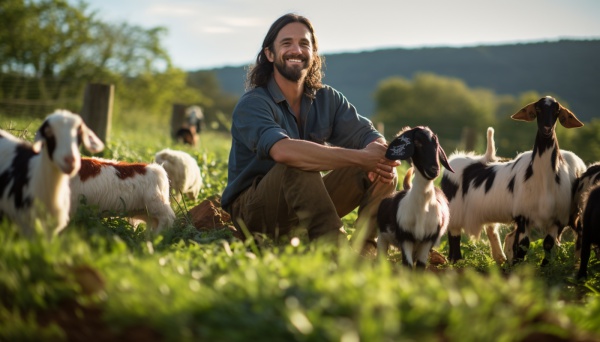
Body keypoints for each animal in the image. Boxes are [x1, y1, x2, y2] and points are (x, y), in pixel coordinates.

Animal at [376, 127, 454, 268]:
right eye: (417, 142)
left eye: (436, 143)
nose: (434, 170)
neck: (421, 209)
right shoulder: (405, 238)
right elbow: (407, 265)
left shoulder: (428, 240)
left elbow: (420, 267)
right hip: (382, 237)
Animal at [442, 97, 584, 268]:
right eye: (537, 109)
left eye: (557, 111)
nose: (546, 128)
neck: (544, 179)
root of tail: (485, 158)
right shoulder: (523, 216)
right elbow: (523, 245)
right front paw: (519, 268)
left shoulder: (557, 219)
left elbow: (548, 244)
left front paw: (544, 268)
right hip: (454, 209)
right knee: (454, 237)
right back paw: (455, 262)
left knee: (495, 232)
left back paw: (501, 259)